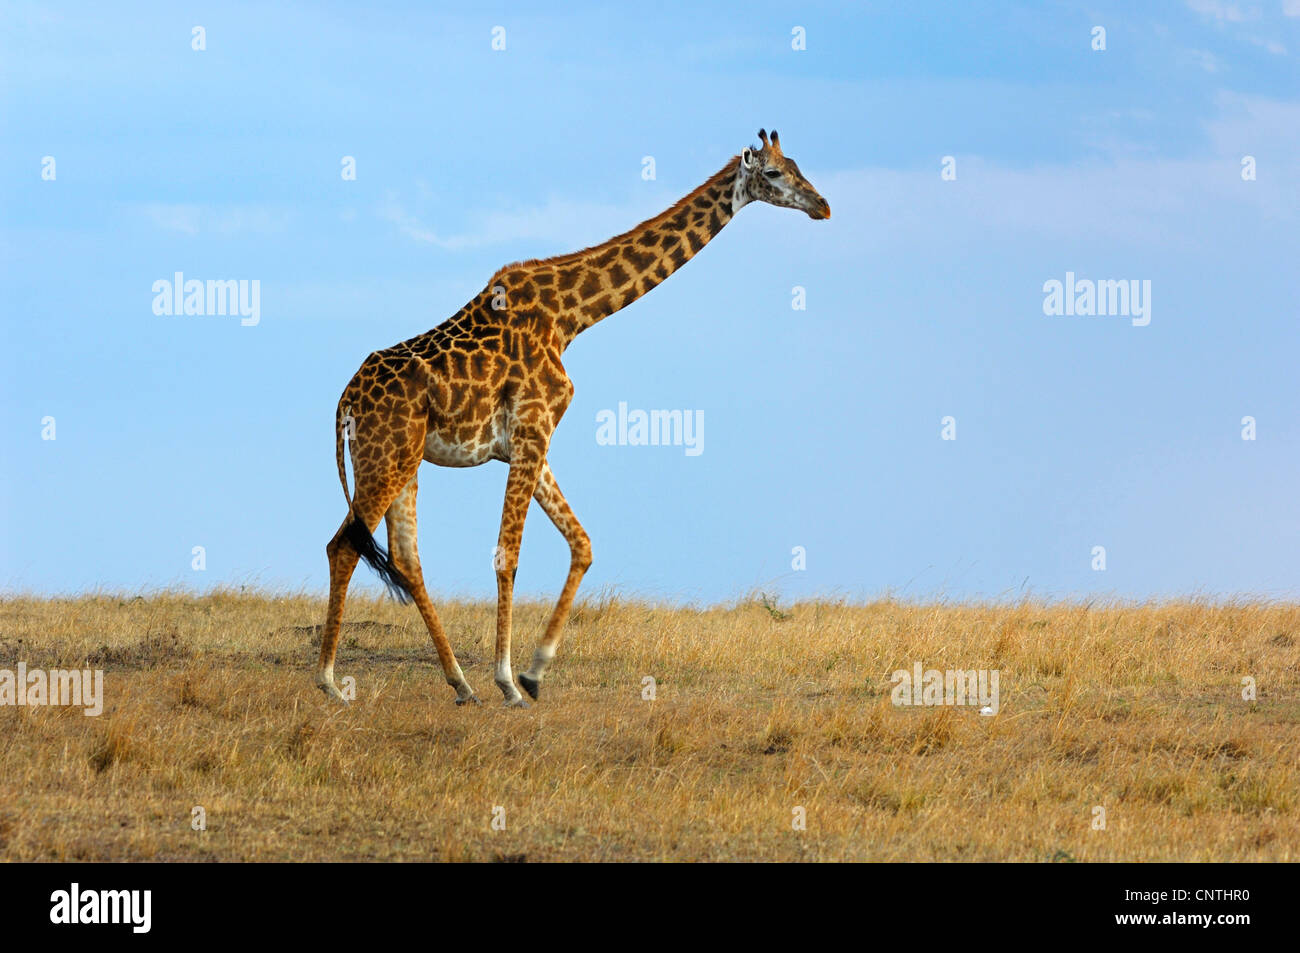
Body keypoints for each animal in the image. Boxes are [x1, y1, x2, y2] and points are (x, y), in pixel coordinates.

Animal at [317, 126, 832, 707]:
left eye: (799, 165)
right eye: (774, 173)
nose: (823, 205)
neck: (571, 316)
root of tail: (344, 400)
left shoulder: (528, 442)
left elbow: (582, 544)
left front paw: (534, 672)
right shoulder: (533, 427)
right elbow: (508, 554)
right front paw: (509, 681)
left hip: (405, 460)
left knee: (405, 559)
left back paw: (460, 683)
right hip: (385, 457)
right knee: (344, 545)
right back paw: (331, 680)